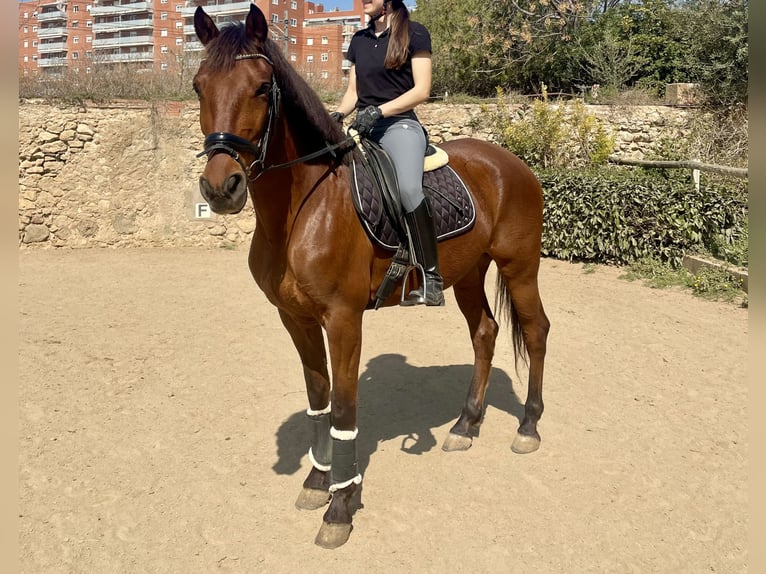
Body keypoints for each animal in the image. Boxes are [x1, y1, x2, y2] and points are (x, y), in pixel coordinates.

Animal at [192, 4, 552, 552]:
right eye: (198, 86)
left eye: (260, 87)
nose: (220, 187)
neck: (302, 208)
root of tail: (511, 162)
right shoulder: (295, 318)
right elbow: (318, 401)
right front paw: (317, 481)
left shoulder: (343, 320)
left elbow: (344, 410)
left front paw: (340, 507)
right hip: (468, 274)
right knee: (485, 333)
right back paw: (466, 425)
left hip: (520, 267)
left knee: (535, 331)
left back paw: (528, 426)